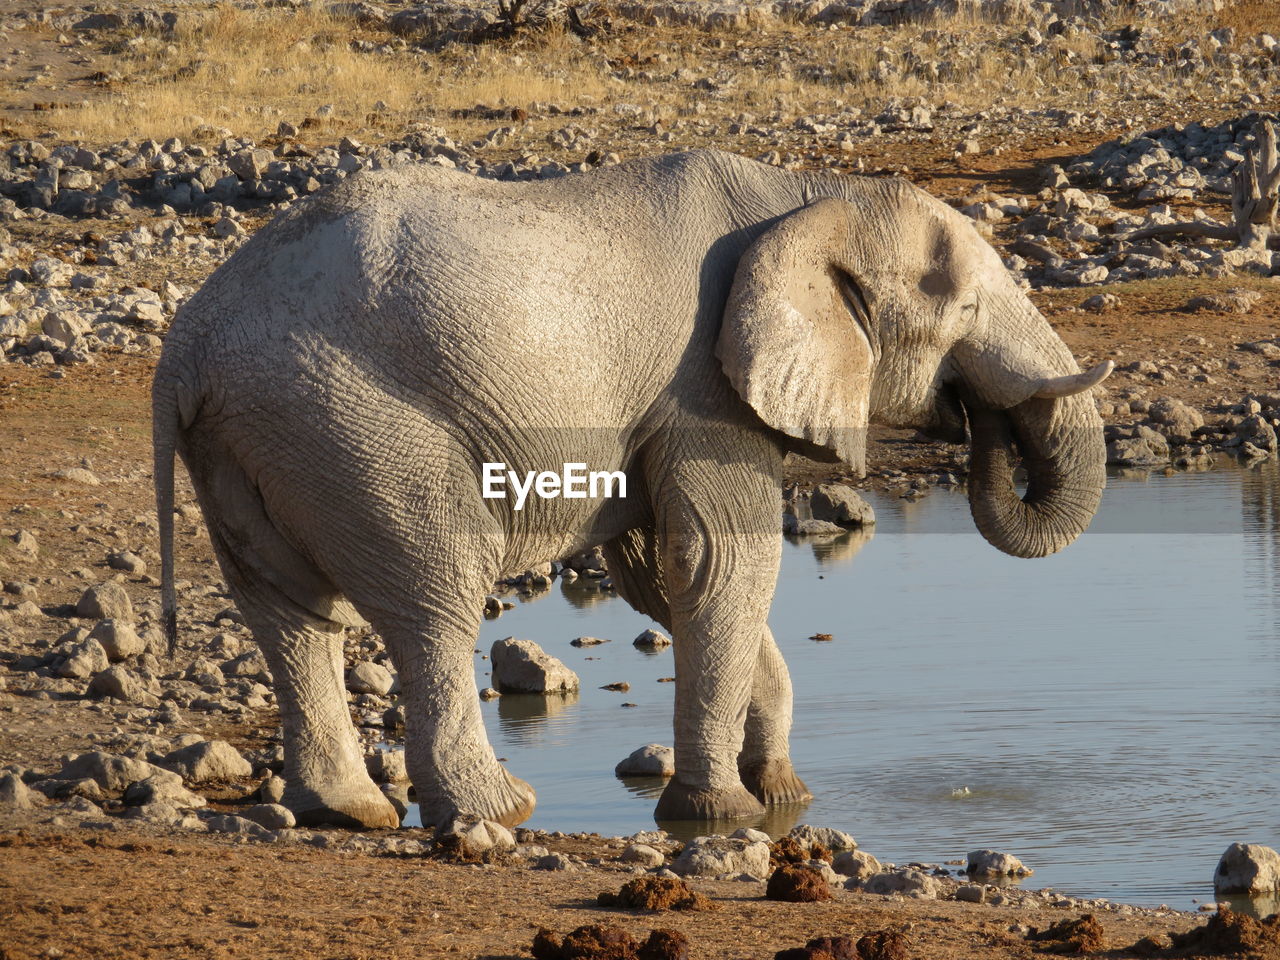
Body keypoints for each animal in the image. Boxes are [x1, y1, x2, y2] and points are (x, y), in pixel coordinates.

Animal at [152, 146, 1111, 829]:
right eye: (962, 311)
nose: (977, 418)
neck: (809, 197)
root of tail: (183, 352)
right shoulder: (704, 391)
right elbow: (724, 564)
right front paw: (720, 814)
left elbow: (663, 579)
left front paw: (783, 793)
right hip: (352, 426)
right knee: (433, 598)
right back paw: (498, 813)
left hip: (260, 438)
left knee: (290, 615)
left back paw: (346, 813)